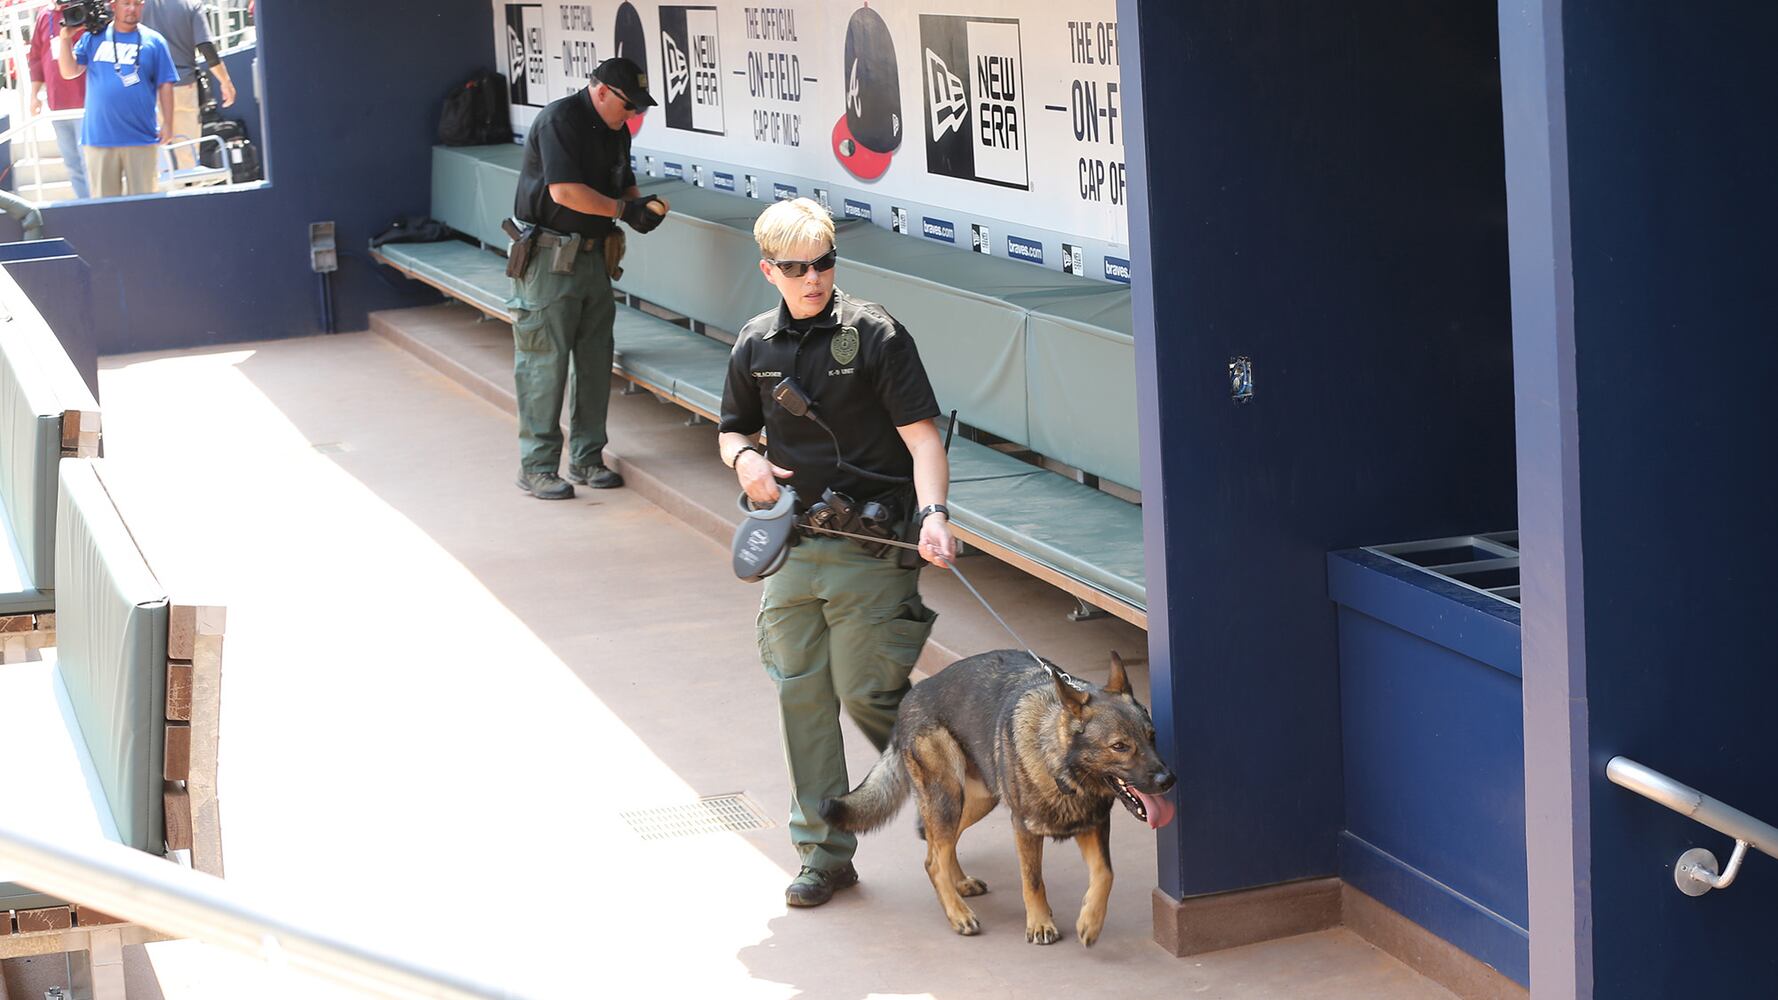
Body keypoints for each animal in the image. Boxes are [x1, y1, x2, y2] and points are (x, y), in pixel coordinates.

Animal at [821, 647, 1180, 939]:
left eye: (1152, 736)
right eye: (1119, 746)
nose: (1169, 780)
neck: (1060, 765)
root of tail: (908, 701)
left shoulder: (1092, 826)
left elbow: (1105, 873)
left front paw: (1090, 922)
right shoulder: (1024, 829)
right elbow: (1033, 880)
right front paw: (1040, 923)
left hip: (978, 800)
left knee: (938, 845)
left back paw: (959, 882)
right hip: (949, 798)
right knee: (933, 860)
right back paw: (957, 913)